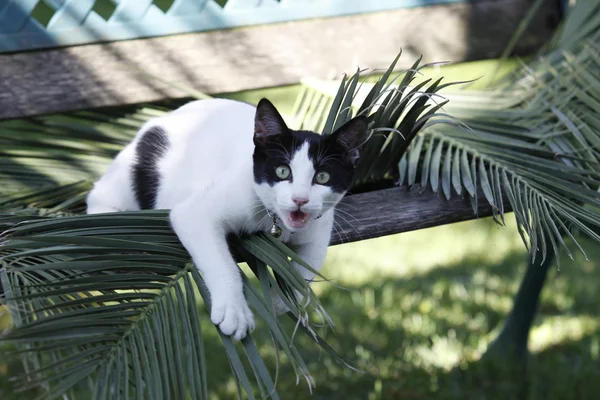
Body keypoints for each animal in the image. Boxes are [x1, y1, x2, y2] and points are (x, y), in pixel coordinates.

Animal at [86, 98, 368, 340]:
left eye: (322, 177)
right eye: (282, 171)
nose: (300, 199)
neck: (276, 222)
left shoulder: (320, 226)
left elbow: (308, 265)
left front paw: (284, 297)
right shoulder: (197, 212)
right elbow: (222, 263)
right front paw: (235, 311)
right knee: (100, 193)